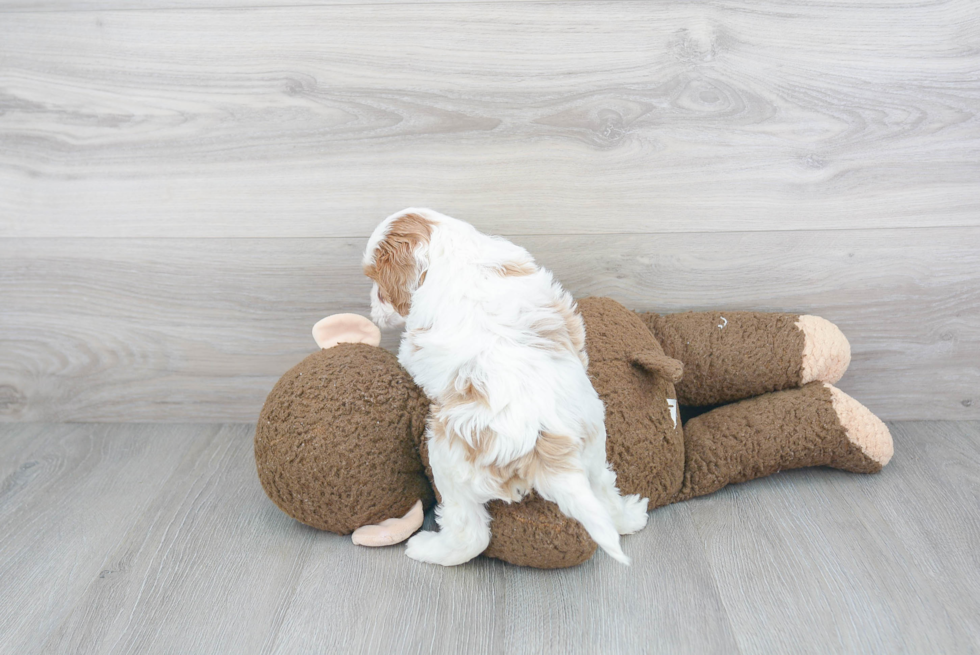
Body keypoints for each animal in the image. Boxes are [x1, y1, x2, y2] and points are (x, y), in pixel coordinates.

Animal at [364, 208, 648, 568]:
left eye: (376, 281)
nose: (373, 311)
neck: (453, 251)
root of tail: (543, 441)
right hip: (593, 444)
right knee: (604, 490)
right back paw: (630, 516)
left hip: (448, 459)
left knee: (471, 534)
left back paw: (428, 549)